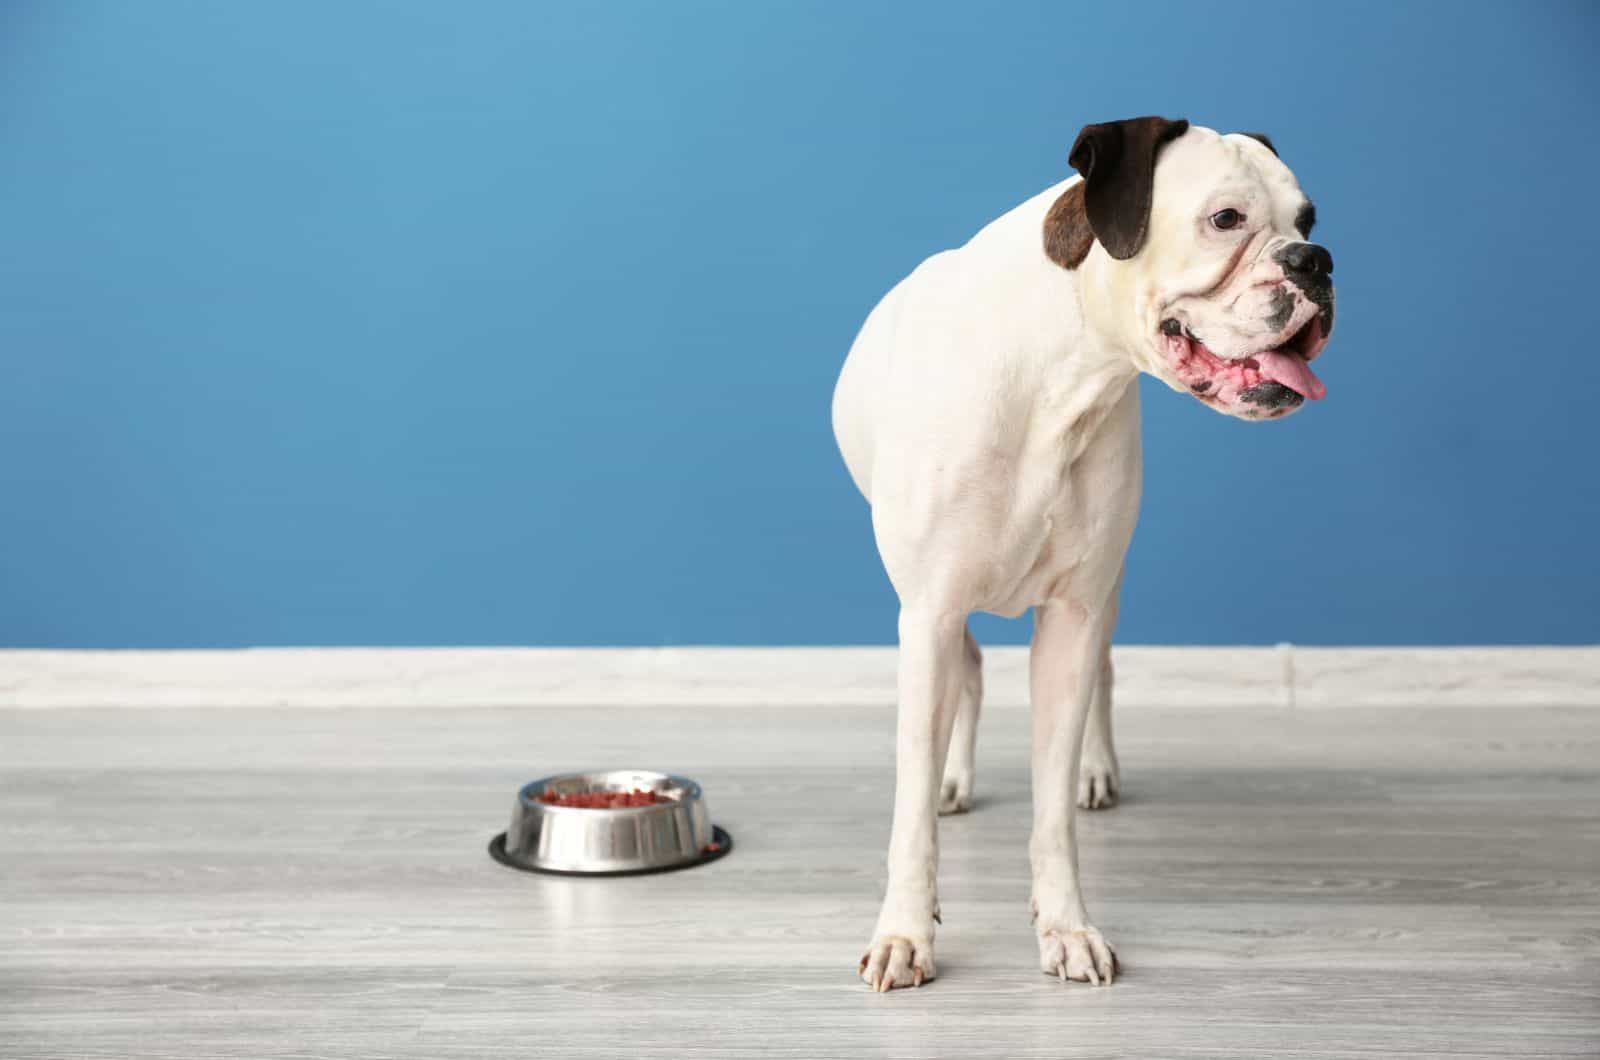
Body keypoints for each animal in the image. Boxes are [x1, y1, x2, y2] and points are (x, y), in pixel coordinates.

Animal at [832, 120, 1331, 992]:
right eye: (1226, 220)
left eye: (1309, 219)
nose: (1317, 260)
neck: (1059, 375)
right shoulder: (928, 612)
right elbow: (911, 808)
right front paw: (905, 932)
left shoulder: (1071, 616)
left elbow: (1052, 805)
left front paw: (1065, 926)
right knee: (967, 675)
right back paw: (955, 779)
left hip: (1104, 593)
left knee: (1101, 672)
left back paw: (1097, 770)